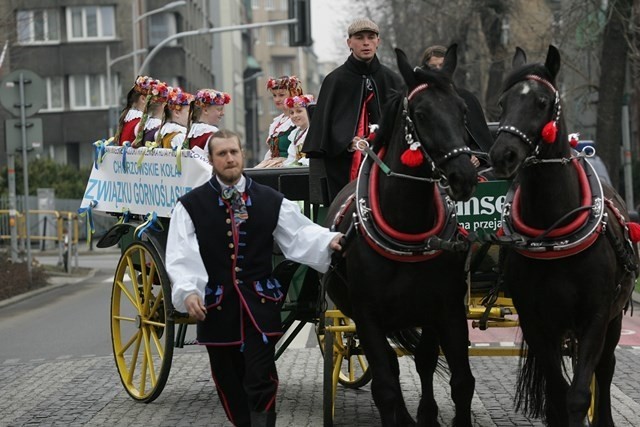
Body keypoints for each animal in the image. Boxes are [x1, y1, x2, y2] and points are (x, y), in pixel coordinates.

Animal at [328, 46, 478, 427]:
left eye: (463, 109)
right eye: (422, 114)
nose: (464, 176)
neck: (408, 229)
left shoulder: (447, 310)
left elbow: (459, 380)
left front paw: (432, 413)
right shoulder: (367, 315)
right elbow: (384, 382)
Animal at [488, 45, 636, 426]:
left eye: (542, 101)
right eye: (502, 102)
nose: (502, 155)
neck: (553, 235)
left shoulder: (596, 317)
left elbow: (580, 393)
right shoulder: (536, 320)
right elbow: (557, 392)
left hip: (614, 319)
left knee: (605, 367)